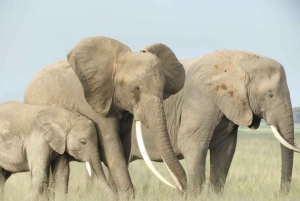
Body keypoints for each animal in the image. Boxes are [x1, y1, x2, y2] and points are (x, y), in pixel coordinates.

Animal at [24, 35, 188, 198]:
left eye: (163, 89)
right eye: (136, 89)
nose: (182, 190)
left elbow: (124, 148)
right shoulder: (93, 105)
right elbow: (112, 149)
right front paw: (126, 196)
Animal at [123, 49, 298, 196]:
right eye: (270, 95)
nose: (281, 194)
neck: (239, 60)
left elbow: (225, 151)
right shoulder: (200, 102)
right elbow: (192, 145)